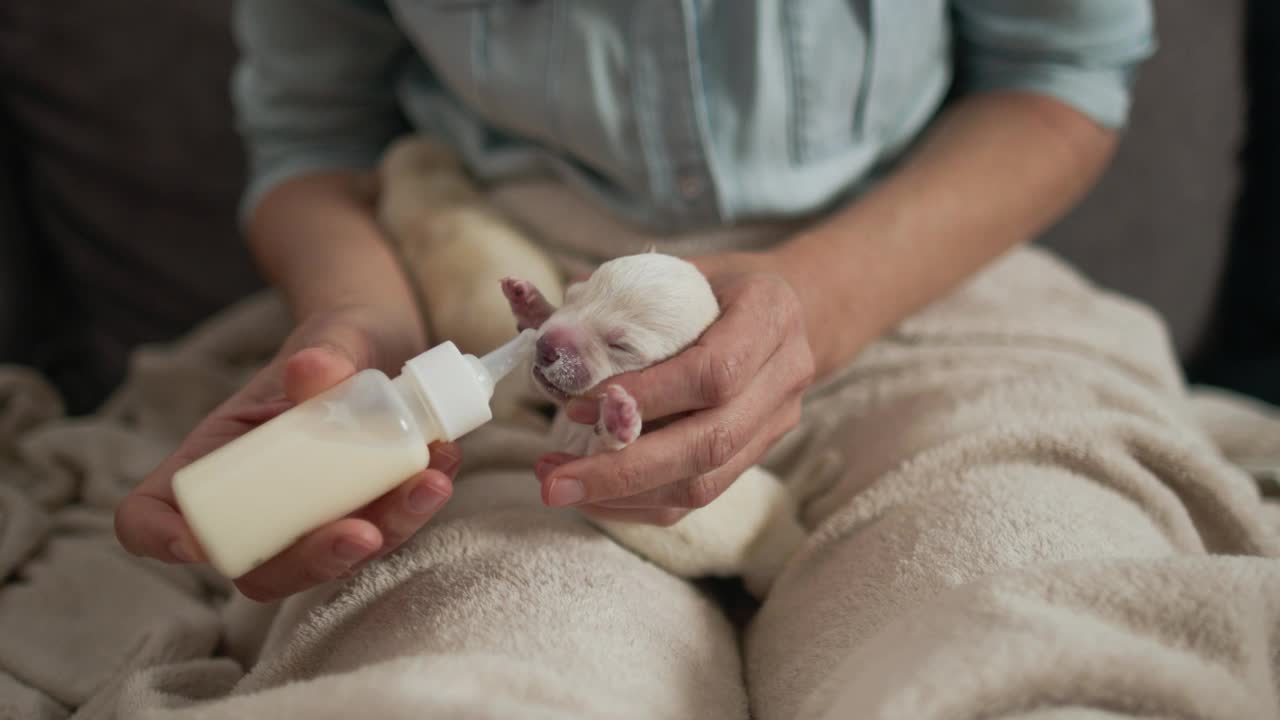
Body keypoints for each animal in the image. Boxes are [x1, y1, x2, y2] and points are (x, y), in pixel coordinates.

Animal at [499, 251, 798, 594]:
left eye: (621, 346)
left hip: (768, 553)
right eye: (572, 297)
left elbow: (605, 450)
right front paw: (528, 301)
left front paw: (620, 415)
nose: (546, 346)